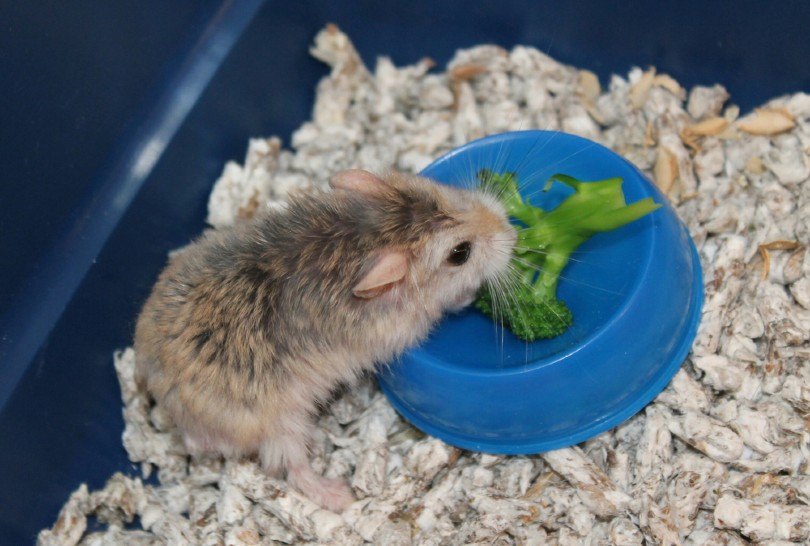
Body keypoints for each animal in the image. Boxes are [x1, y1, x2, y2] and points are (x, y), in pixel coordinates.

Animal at [133, 168, 516, 511]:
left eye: (447, 196)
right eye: (460, 253)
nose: (511, 232)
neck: (362, 241)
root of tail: (165, 399)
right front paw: (466, 297)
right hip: (284, 425)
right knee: (292, 471)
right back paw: (340, 497)